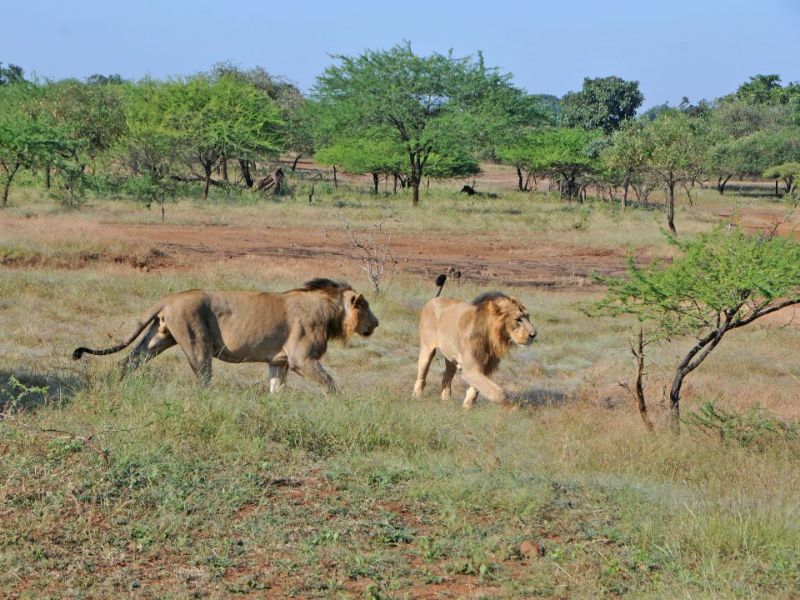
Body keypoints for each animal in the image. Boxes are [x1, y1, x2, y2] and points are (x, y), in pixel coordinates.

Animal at [72, 278, 379, 392]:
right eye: (365, 307)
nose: (376, 323)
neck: (330, 311)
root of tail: (168, 299)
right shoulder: (301, 360)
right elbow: (331, 384)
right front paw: (341, 406)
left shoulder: (278, 362)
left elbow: (276, 391)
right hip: (197, 343)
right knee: (202, 379)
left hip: (157, 339)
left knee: (128, 362)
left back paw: (116, 386)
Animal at [412, 274, 536, 408]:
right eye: (518, 319)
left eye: (528, 317)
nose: (534, 334)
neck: (491, 338)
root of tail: (434, 299)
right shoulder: (470, 369)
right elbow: (498, 392)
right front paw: (510, 407)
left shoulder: (486, 367)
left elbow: (476, 390)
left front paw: (467, 406)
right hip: (427, 349)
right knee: (421, 377)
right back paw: (416, 397)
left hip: (451, 358)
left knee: (446, 378)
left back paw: (446, 401)